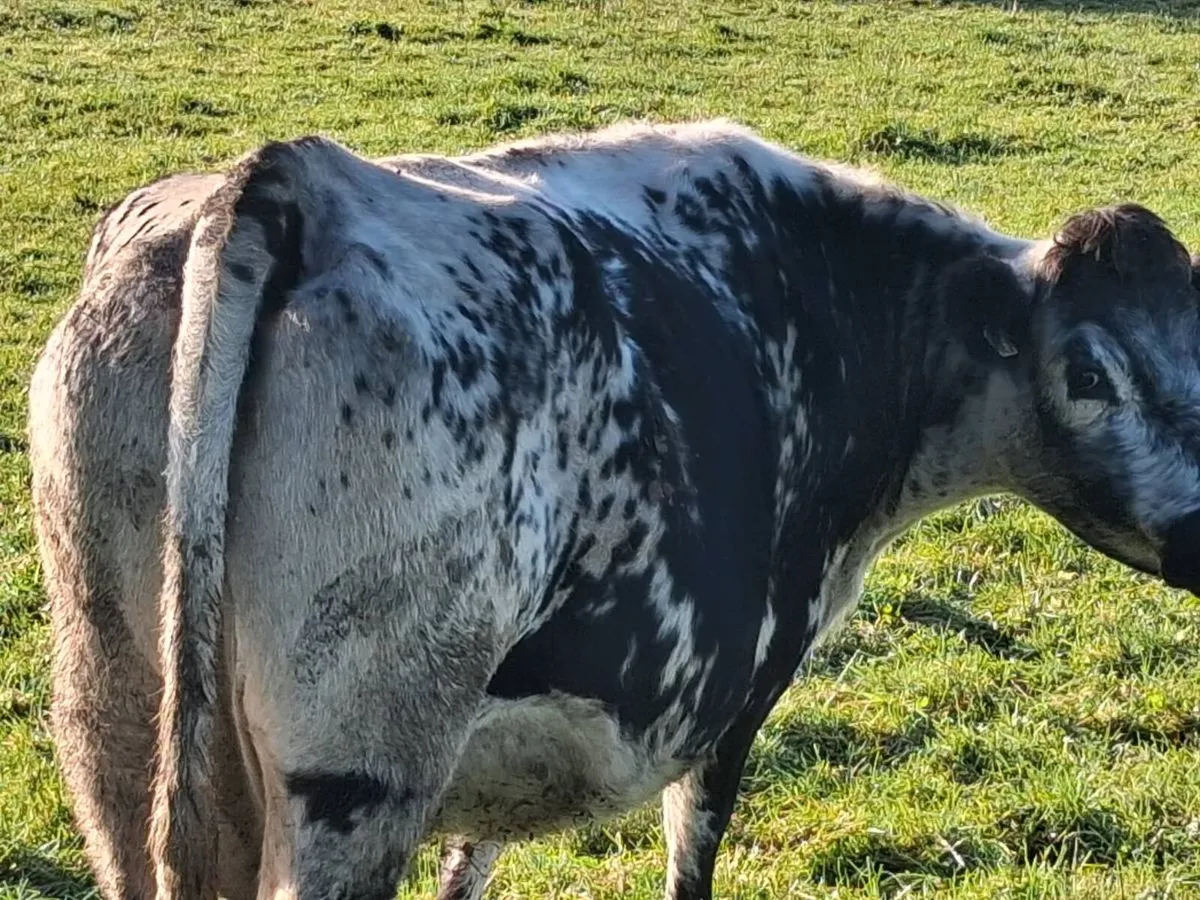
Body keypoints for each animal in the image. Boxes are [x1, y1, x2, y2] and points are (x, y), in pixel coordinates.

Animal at [27, 118, 1200, 900]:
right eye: (1088, 372)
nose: (1199, 530)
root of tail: (293, 184)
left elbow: (472, 866)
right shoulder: (734, 698)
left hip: (112, 718)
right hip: (353, 776)